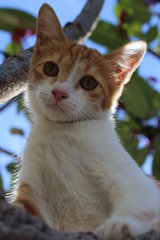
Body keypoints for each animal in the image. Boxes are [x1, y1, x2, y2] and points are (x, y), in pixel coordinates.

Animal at [11, 3, 160, 240]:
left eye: (89, 83)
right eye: (50, 68)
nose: (59, 93)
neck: (61, 132)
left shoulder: (132, 179)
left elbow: (139, 201)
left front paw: (124, 224)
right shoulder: (34, 194)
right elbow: (22, 207)